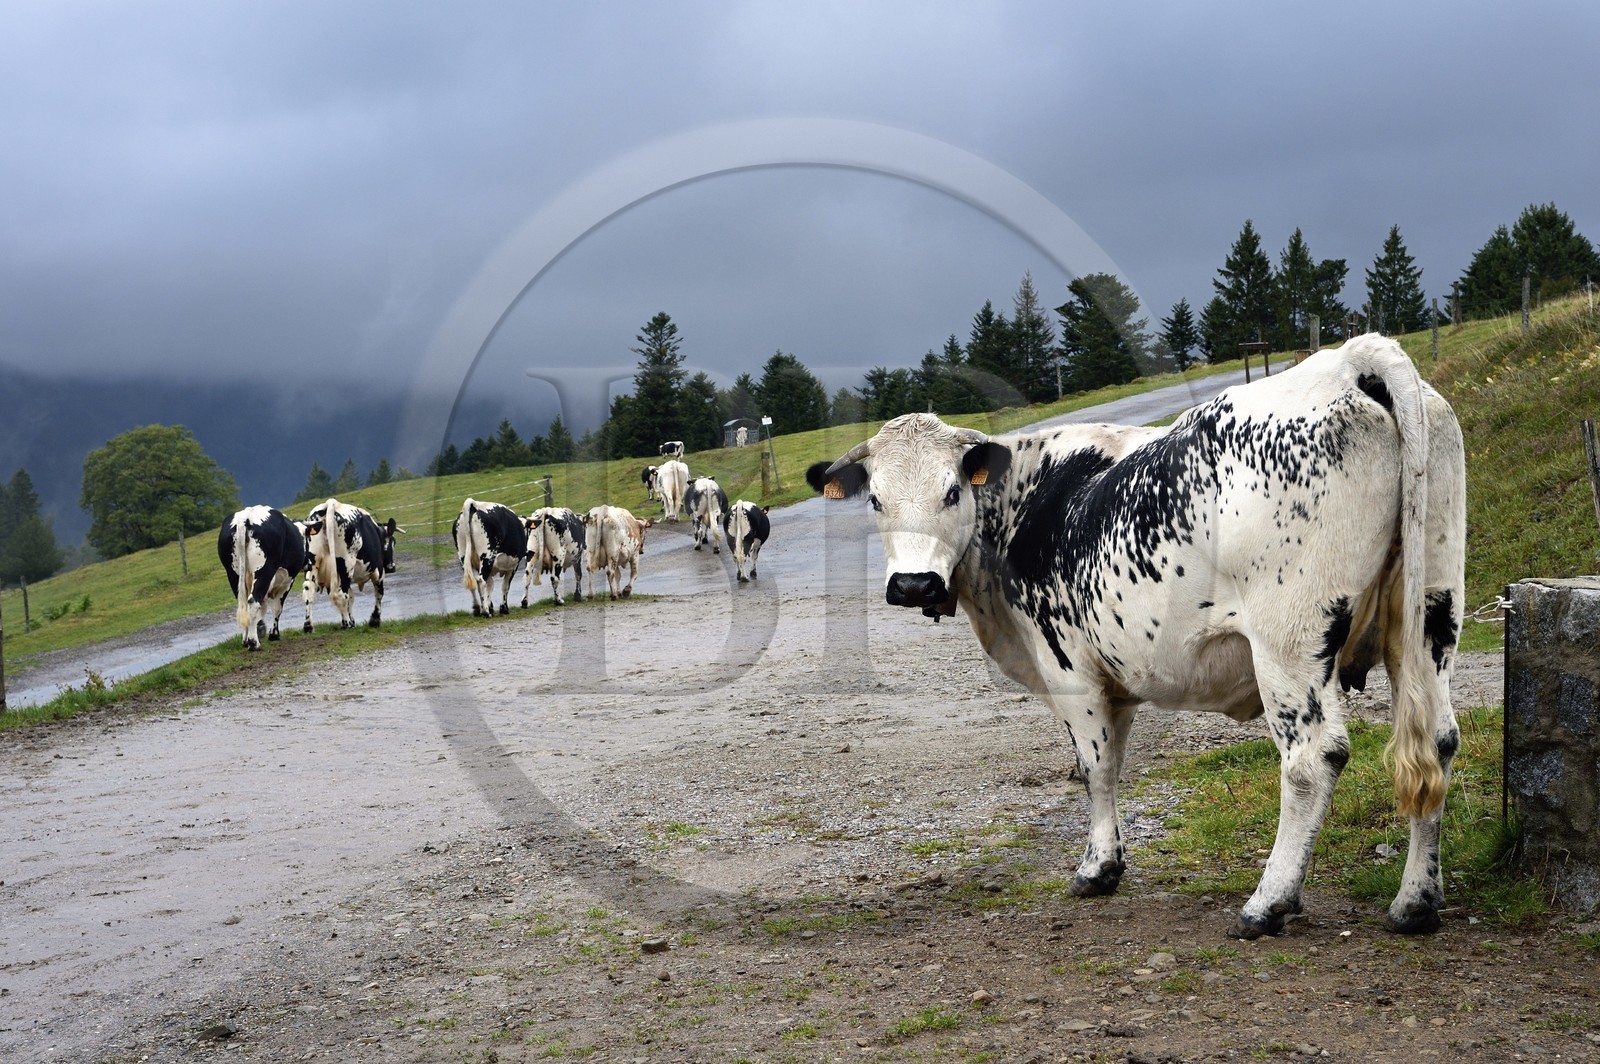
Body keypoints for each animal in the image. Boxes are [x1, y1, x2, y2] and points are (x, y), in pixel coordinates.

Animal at [218, 506, 309, 650]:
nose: (309, 563)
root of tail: (246, 516)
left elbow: (264, 605)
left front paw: (260, 628)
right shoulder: (287, 582)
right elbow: (277, 607)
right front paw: (273, 634)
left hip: (233, 574)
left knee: (243, 603)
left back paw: (246, 640)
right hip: (264, 571)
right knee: (253, 601)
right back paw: (253, 643)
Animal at [303, 498, 395, 630]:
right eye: (393, 543)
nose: (392, 567)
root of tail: (330, 503)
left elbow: (350, 598)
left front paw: (350, 620)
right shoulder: (378, 570)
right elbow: (379, 592)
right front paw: (374, 620)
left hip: (313, 562)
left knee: (309, 591)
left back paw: (308, 626)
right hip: (347, 562)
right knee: (341, 593)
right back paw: (348, 625)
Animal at [807, 335, 1466, 940]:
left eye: (951, 491)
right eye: (876, 499)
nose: (913, 584)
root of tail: (1348, 360)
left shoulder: (1070, 669)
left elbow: (1095, 767)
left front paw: (1097, 868)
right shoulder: (1115, 675)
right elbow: (1110, 761)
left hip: (1290, 641)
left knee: (1312, 757)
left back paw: (1268, 902)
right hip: (1430, 616)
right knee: (1436, 740)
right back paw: (1414, 901)